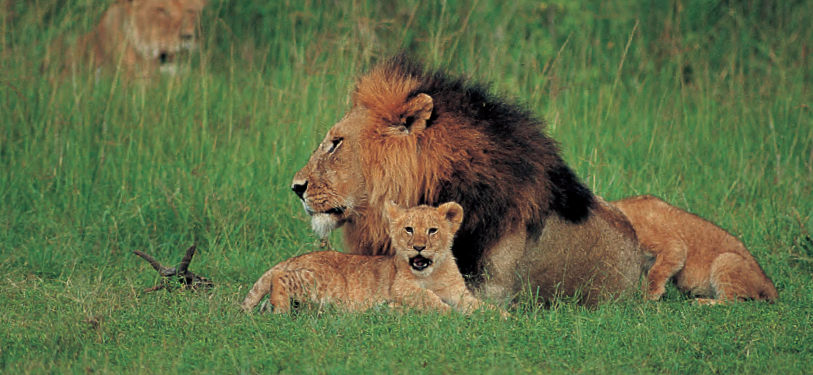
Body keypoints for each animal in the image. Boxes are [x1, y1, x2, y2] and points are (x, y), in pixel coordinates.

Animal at [241, 201, 494, 316]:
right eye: (409, 229)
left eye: (433, 230)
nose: (419, 247)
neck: (431, 273)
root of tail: (292, 259)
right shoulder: (401, 288)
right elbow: (428, 297)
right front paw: (450, 314)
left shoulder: (457, 292)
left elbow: (479, 305)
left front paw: (497, 317)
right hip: (321, 281)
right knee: (279, 277)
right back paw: (281, 310)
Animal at [612, 195, 776, 304]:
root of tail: (768, 283)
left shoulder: (674, 246)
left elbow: (656, 273)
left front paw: (649, 296)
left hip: (726, 259)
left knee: (732, 302)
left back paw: (702, 302)